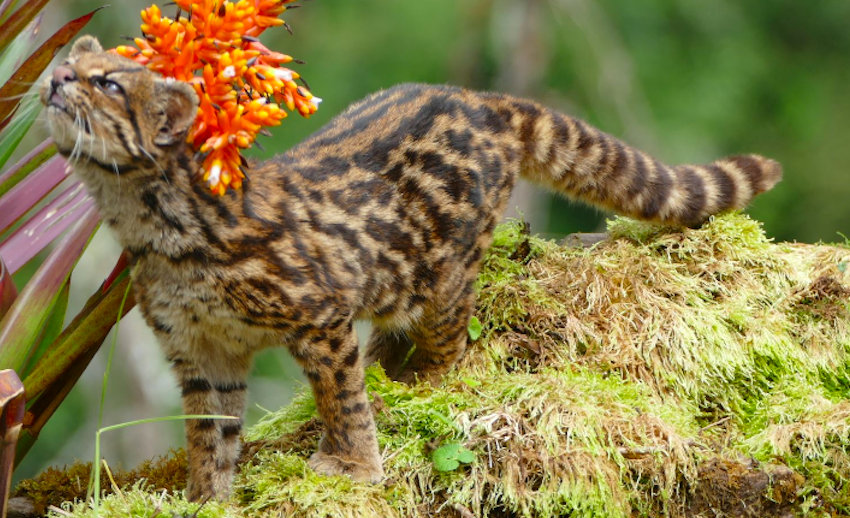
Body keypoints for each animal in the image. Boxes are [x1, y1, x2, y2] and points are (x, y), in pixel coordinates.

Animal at [39, 35, 780, 500]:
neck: (150, 222)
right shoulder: (202, 353)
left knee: (450, 347)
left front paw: (352, 466)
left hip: (445, 276)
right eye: (77, 65)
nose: (54, 77)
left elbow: (341, 398)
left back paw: (426, 386)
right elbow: (209, 438)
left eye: (108, 81)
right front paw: (205, 497)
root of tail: (478, 98)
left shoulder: (320, 315)